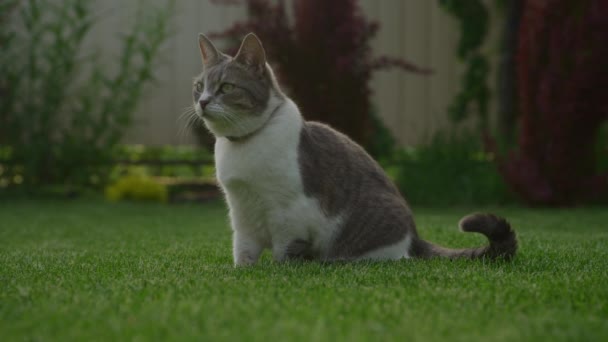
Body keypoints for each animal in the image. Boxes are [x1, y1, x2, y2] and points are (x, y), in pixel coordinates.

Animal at [192, 32, 516, 268]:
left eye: (226, 87)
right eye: (198, 86)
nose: (203, 101)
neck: (244, 144)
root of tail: (414, 235)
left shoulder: (290, 213)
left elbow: (285, 251)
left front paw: (279, 270)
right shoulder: (241, 212)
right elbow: (243, 249)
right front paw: (242, 270)